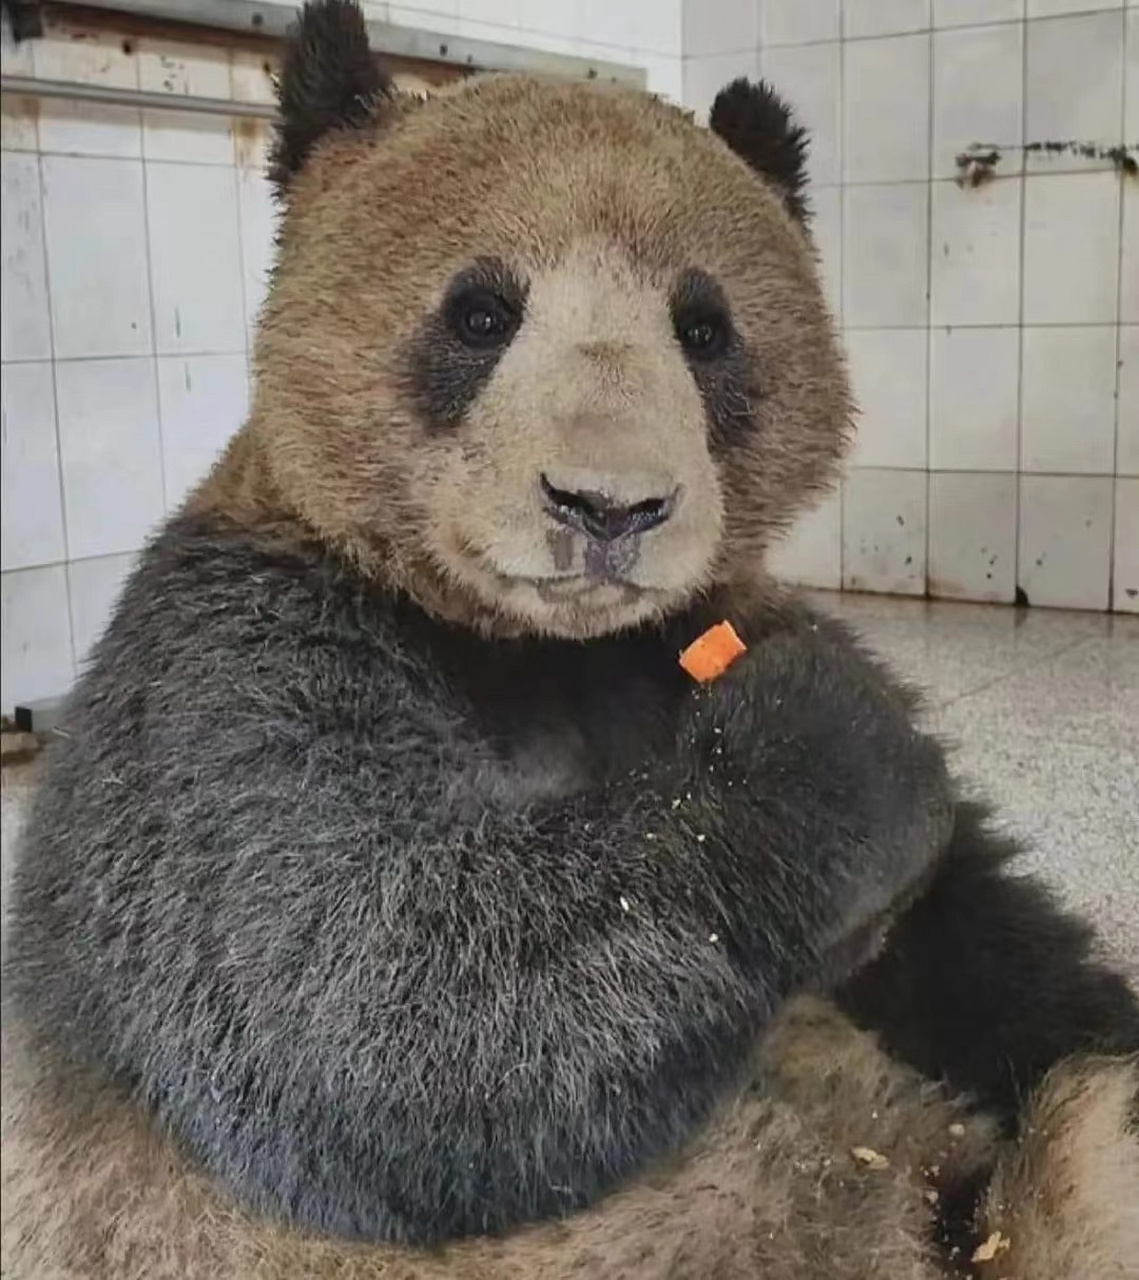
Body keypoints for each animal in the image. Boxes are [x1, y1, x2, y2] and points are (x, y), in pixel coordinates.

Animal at [3, 3, 1137, 1277]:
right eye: (480, 313)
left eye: (703, 329)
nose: (608, 506)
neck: (538, 645)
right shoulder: (233, 672)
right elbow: (361, 1004)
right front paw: (826, 742)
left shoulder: (682, 627)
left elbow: (981, 938)